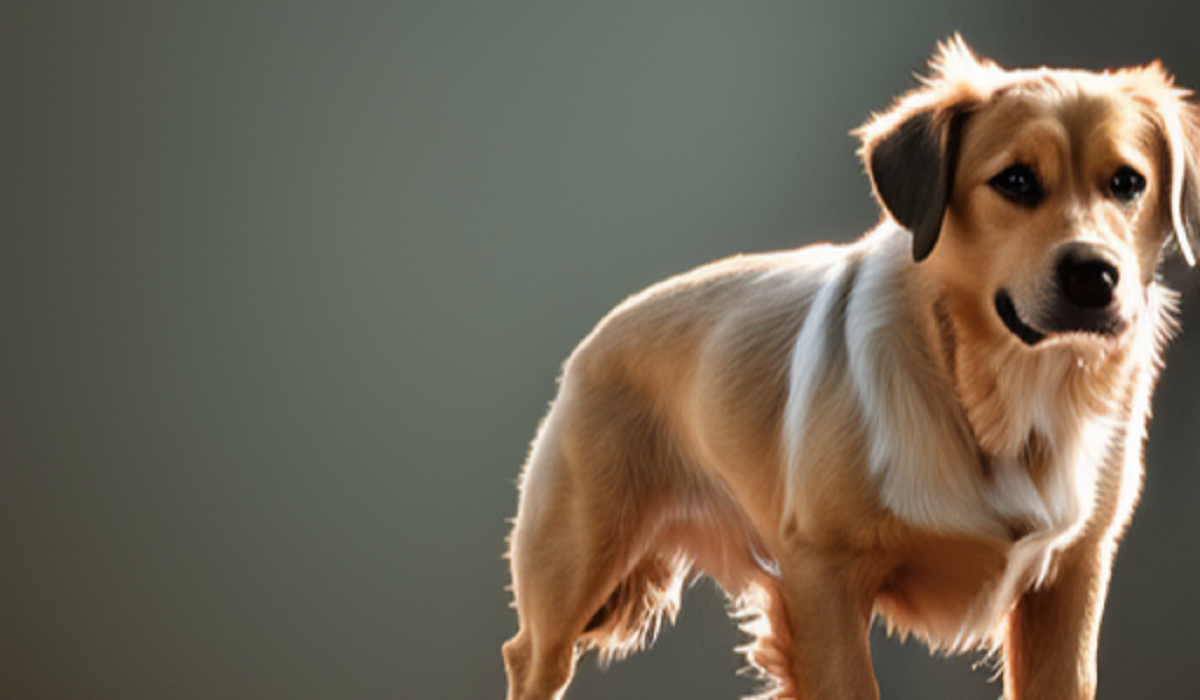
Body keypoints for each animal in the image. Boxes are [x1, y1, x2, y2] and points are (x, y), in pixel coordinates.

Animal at [501, 39, 1195, 700]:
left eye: (1128, 183)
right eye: (1017, 181)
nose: (1095, 275)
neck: (1003, 392)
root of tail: (594, 340)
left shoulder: (1074, 572)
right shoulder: (822, 575)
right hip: (574, 567)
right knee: (530, 656)